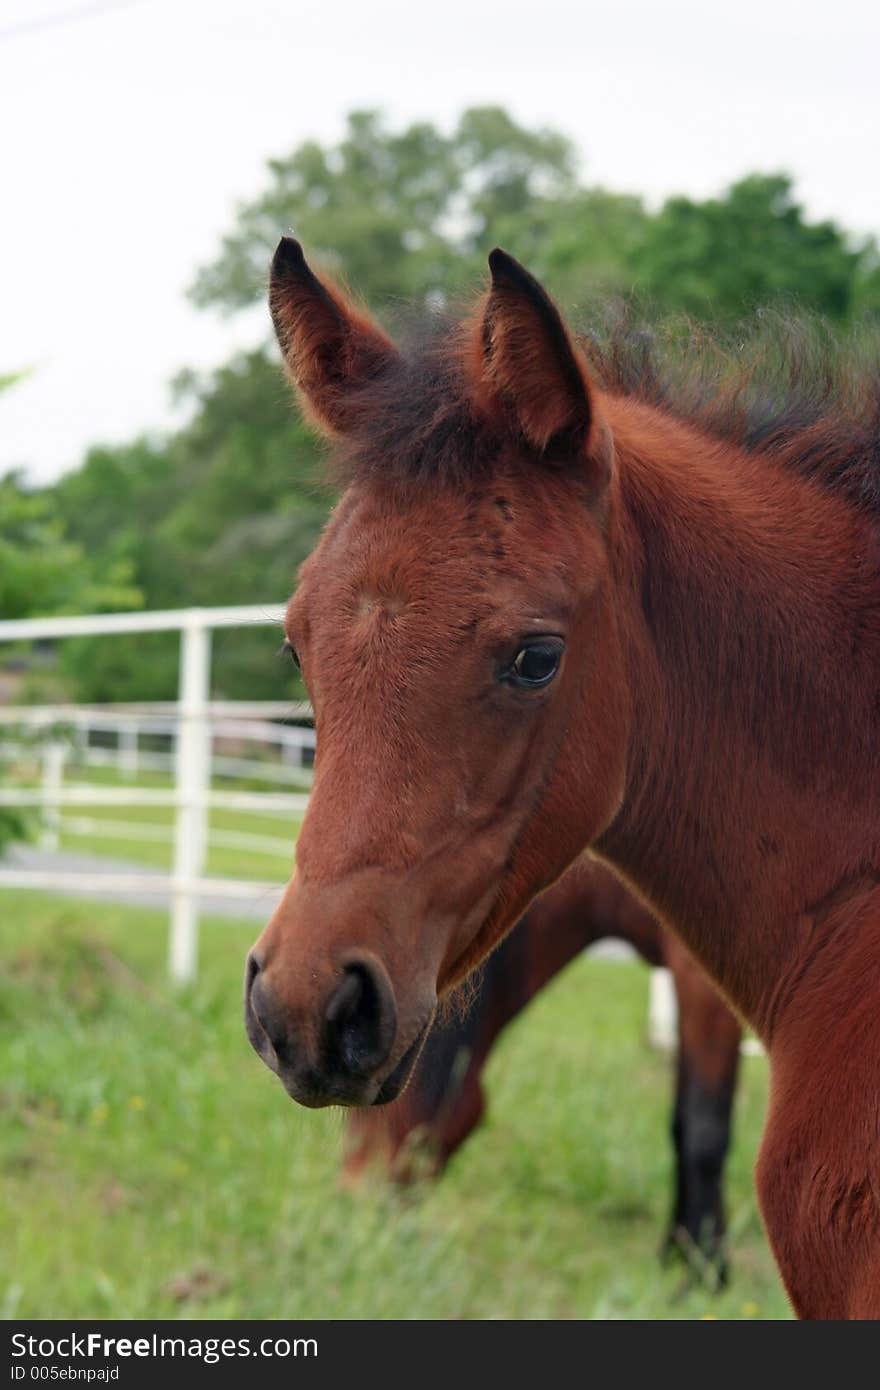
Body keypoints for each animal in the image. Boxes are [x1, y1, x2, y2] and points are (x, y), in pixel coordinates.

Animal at [343, 856, 739, 1289]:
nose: (352, 1198)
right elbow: (681, 1123)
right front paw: (678, 1253)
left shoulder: (702, 984)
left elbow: (705, 1133)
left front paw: (705, 1272)